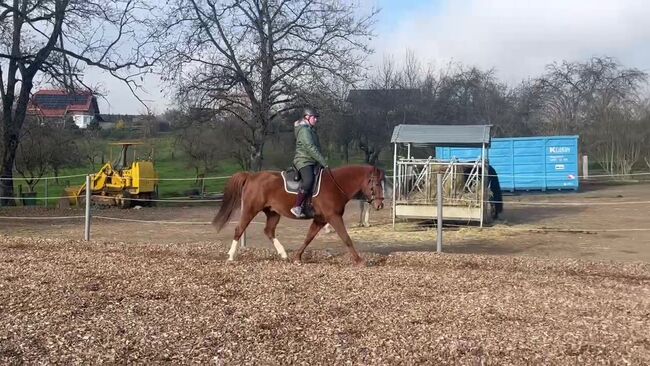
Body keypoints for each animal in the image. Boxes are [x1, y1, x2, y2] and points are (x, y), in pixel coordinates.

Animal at [211, 164, 384, 264]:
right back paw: (231, 256)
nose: (380, 204)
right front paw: (359, 260)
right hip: (250, 209)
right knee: (239, 229)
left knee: (269, 231)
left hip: (273, 213)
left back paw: (283, 254)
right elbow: (346, 238)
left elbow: (308, 237)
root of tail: (251, 176)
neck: (335, 185)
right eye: (376, 183)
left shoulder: (320, 219)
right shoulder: (333, 217)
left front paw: (297, 258)